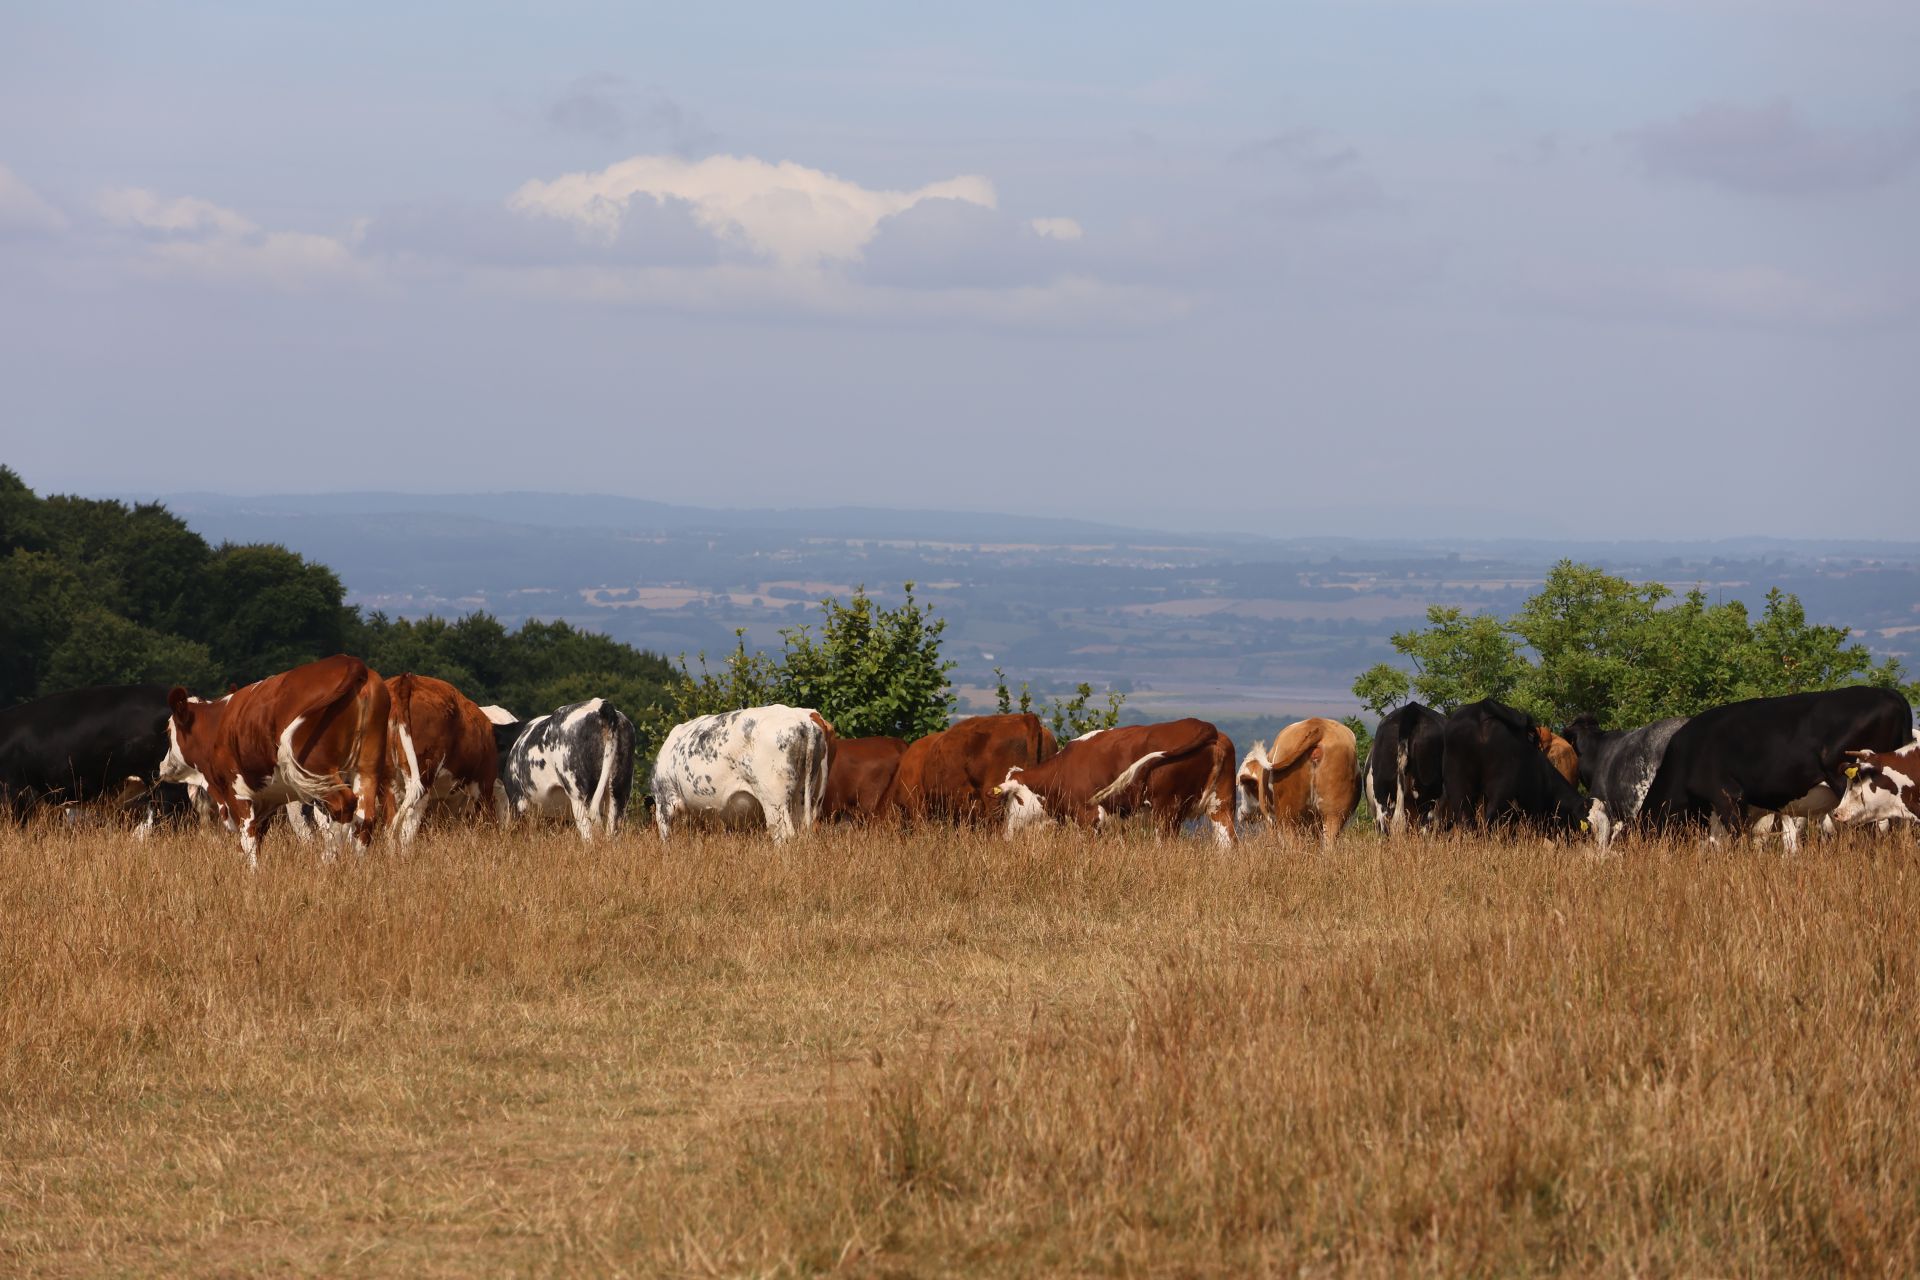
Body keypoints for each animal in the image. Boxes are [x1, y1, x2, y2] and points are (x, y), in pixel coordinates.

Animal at [156, 655, 392, 867]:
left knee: (343, 806)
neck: (217, 726)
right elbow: (254, 839)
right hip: (367, 770)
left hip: (319, 770)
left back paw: (326, 864)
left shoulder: (237, 793)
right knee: (365, 820)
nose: (162, 766)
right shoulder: (265, 799)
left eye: (168, 731)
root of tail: (350, 662)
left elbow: (248, 837)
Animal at [500, 698, 636, 841]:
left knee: (589, 837)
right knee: (612, 833)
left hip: (579, 797)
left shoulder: (518, 800)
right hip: (620, 793)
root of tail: (600, 704)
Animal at [993, 718, 1236, 845]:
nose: (1006, 835)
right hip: (1222, 807)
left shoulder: (1088, 817)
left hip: (1167, 812)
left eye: (1012, 799)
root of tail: (1202, 724)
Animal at [1236, 717, 1360, 847]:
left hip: (1288, 817)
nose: (1240, 813)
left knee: (1292, 844)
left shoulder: (1270, 819)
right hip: (1334, 814)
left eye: (1241, 787)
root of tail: (1319, 725)